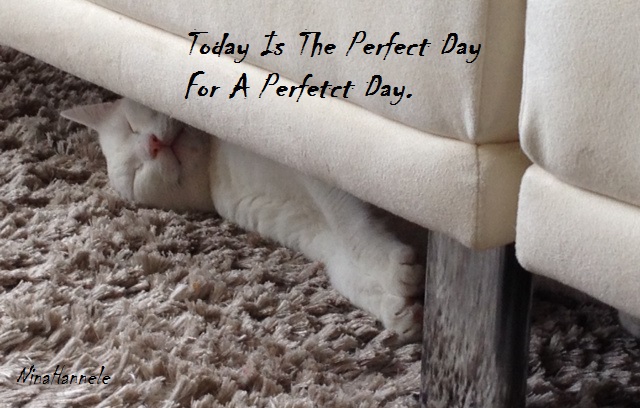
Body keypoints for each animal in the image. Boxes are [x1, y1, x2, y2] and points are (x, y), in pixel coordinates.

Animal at [61, 98, 425, 343]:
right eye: (137, 173)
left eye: (130, 125)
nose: (151, 145)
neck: (217, 164)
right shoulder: (306, 226)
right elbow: (345, 267)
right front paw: (396, 305)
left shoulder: (321, 178)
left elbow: (353, 230)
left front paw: (394, 275)